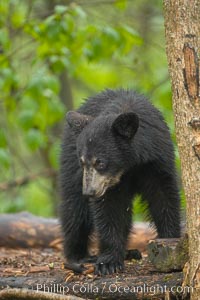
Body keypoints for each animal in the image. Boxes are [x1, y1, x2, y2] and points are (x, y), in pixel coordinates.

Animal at [59, 88, 180, 274]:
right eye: (82, 161)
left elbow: (164, 197)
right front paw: (108, 262)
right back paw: (78, 256)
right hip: (70, 167)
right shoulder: (107, 184)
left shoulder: (157, 159)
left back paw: (129, 252)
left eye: (100, 162)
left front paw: (169, 241)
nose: (89, 192)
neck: (130, 165)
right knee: (75, 211)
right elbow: (109, 209)